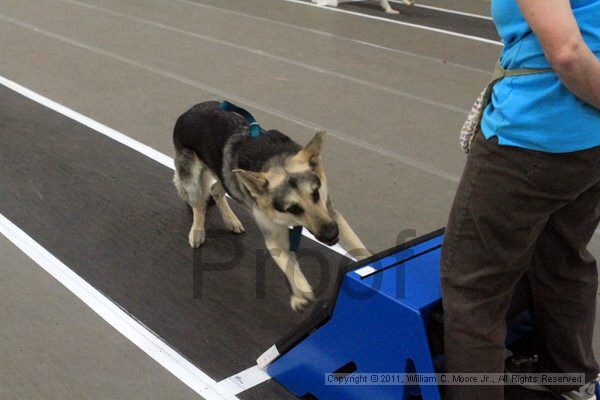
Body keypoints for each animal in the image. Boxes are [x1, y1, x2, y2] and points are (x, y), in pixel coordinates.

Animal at [172, 101, 370, 310]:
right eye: (293, 209)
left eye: (315, 194)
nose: (332, 235)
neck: (274, 160)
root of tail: (188, 111)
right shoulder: (275, 239)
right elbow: (290, 268)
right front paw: (301, 293)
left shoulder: (332, 214)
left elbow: (359, 248)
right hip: (192, 181)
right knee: (199, 205)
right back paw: (198, 231)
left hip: (227, 178)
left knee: (215, 190)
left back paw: (231, 220)